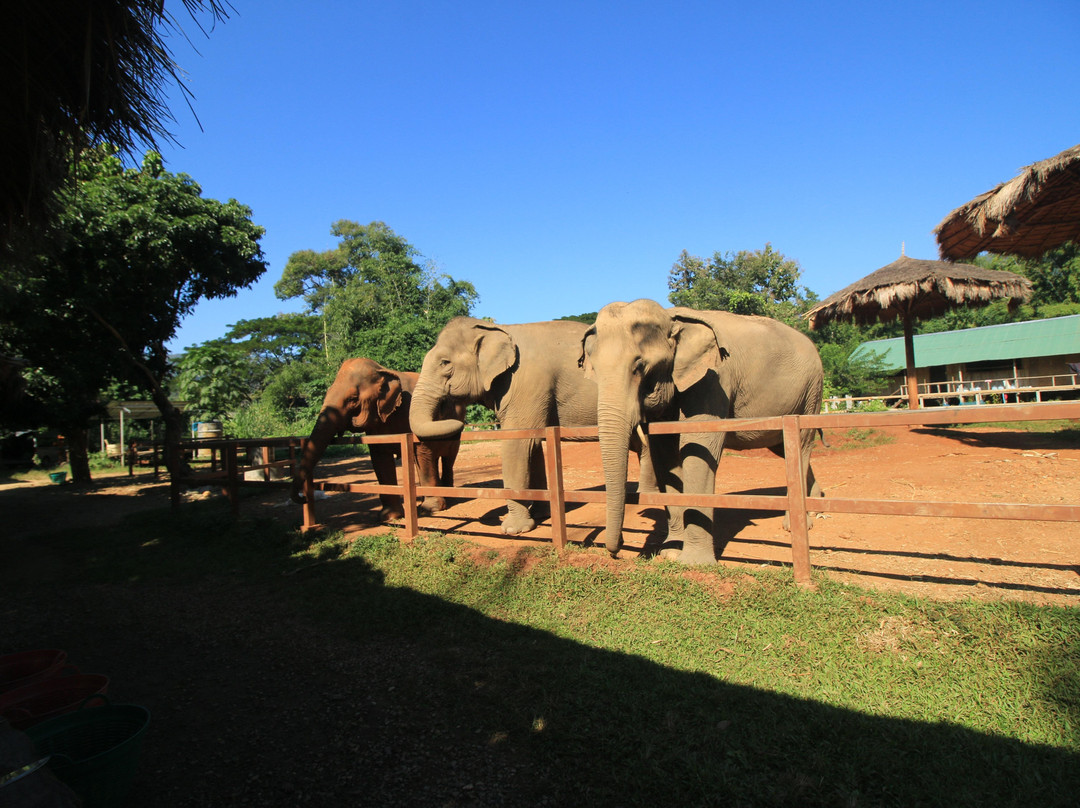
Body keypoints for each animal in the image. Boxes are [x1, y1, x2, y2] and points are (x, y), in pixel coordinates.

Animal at [291, 357, 464, 521]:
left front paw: (431, 509)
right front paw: (390, 517)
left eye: (353, 399)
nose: (304, 498)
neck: (383, 371)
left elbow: (422, 451)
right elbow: (380, 458)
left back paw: (448, 497)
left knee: (448, 458)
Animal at [409, 316, 653, 535]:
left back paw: (647, 497)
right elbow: (533, 446)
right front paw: (541, 514)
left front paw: (513, 530)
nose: (456, 418)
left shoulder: (526, 383)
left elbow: (517, 444)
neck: (497, 328)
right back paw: (647, 494)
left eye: (445, 363)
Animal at [580, 298, 824, 565]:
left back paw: (797, 524)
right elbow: (665, 457)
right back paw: (817, 507)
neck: (671, 317)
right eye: (594, 370)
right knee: (784, 447)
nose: (619, 547)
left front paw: (694, 561)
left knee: (802, 444)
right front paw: (671, 552)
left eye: (639, 366)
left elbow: (698, 448)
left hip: (812, 392)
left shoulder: (713, 379)